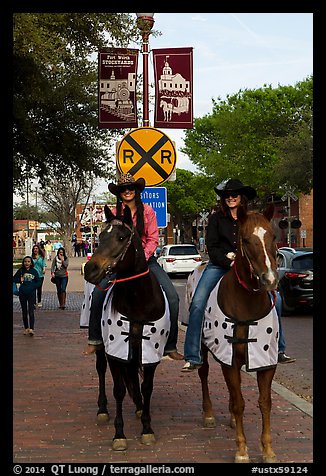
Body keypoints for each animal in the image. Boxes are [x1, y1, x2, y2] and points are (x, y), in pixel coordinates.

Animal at [83, 205, 168, 450]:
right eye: (100, 236)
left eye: (121, 237)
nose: (90, 269)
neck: (138, 299)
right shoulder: (115, 351)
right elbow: (119, 389)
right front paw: (119, 434)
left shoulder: (150, 351)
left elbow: (147, 386)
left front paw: (147, 428)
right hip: (102, 347)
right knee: (101, 369)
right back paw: (102, 409)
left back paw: (139, 407)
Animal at [185, 204, 278, 462]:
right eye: (245, 240)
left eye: (273, 236)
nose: (270, 279)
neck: (247, 303)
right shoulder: (231, 361)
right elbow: (239, 403)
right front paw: (242, 450)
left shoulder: (266, 361)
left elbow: (264, 403)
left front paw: (268, 450)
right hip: (205, 350)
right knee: (204, 374)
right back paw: (208, 414)